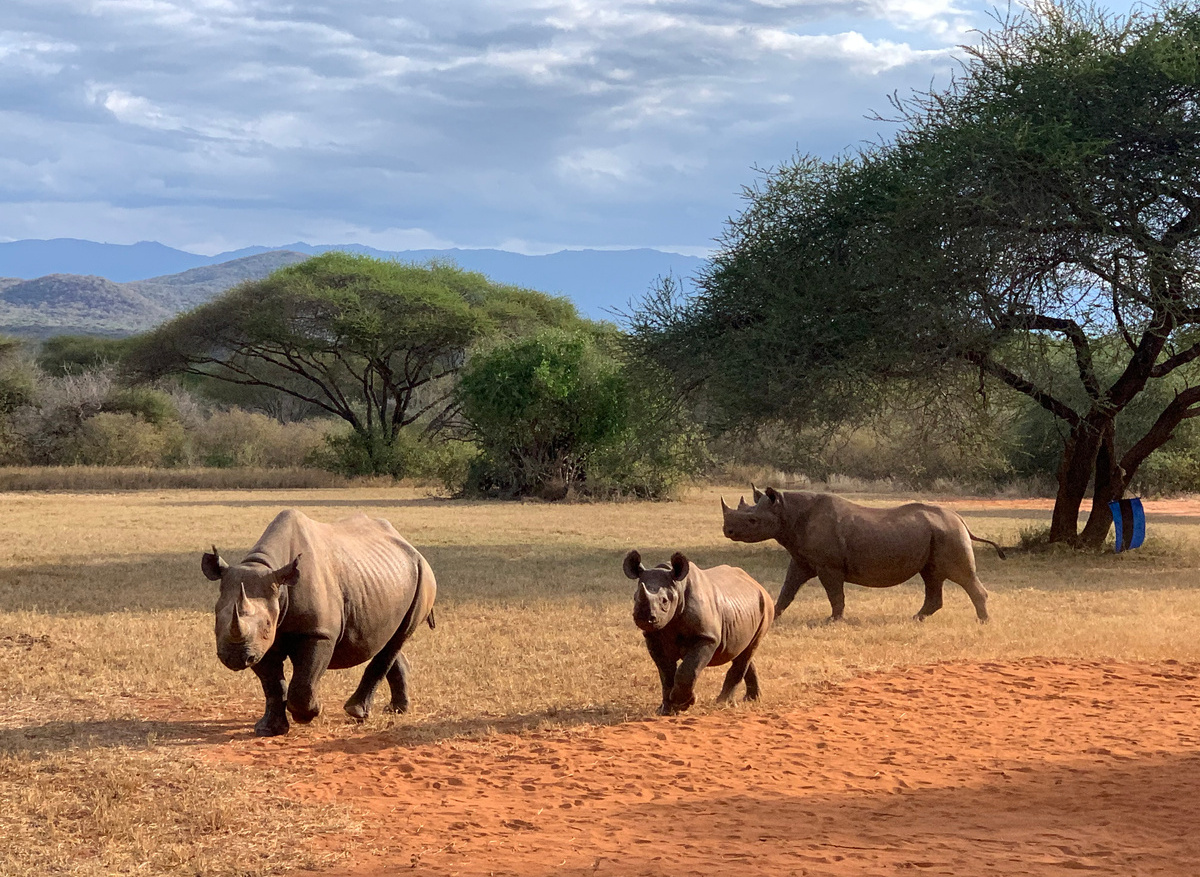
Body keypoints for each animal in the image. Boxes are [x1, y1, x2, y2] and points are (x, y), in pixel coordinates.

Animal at [202, 509, 437, 736]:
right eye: (216, 617)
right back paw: (396, 710)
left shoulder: (318, 633)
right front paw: (268, 730)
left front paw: (309, 713)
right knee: (386, 641)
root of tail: (409, 545)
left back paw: (356, 712)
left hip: (424, 575)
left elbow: (305, 682)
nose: (234, 657)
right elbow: (272, 685)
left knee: (399, 637)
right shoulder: (259, 646)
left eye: (268, 625)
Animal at [624, 550, 774, 715]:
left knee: (749, 650)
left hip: (766, 606)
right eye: (635, 598)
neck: (678, 586)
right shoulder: (653, 638)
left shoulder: (707, 637)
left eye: (664, 601)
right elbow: (666, 673)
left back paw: (723, 703)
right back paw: (751, 699)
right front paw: (666, 710)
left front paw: (684, 703)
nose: (643, 619)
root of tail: (756, 583)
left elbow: (689, 670)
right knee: (741, 650)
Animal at [721, 486, 1004, 623]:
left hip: (949, 533)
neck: (787, 511)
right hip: (938, 534)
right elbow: (787, 590)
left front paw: (833, 621)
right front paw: (774, 616)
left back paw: (983, 622)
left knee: (960, 576)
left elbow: (835, 593)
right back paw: (916, 619)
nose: (727, 530)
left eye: (753, 521)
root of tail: (960, 519)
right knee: (931, 576)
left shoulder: (829, 565)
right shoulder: (801, 560)